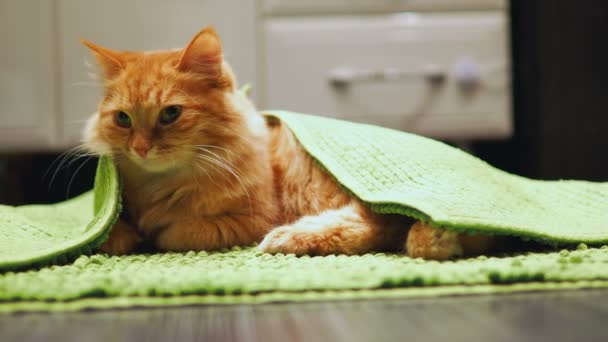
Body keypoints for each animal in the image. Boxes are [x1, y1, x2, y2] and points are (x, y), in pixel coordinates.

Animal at [81, 26, 494, 260]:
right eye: (123, 119)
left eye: (170, 114)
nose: (140, 148)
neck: (161, 185)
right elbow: (113, 233)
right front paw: (123, 235)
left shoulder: (249, 219)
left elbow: (175, 232)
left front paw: (151, 232)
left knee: (376, 227)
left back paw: (287, 239)